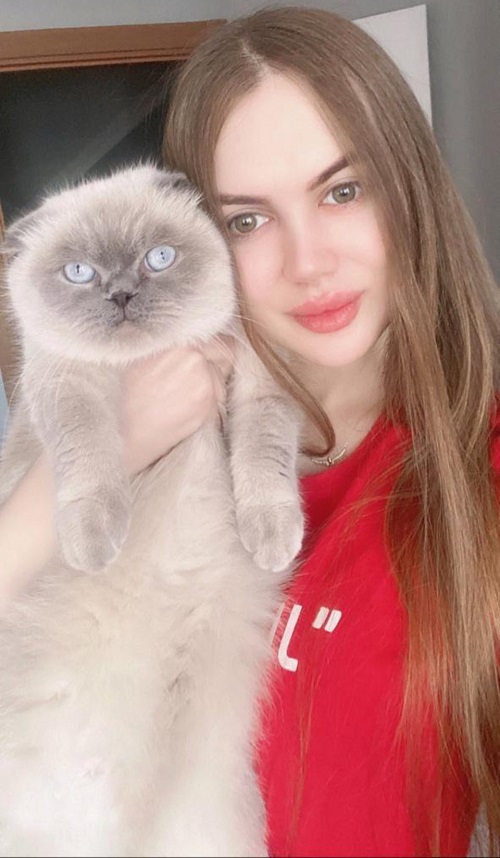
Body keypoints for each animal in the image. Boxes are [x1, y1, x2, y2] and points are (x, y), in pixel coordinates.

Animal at [0, 165, 304, 857]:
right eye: (79, 272)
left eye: (157, 259)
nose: (120, 296)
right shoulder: (67, 387)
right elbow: (90, 462)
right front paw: (94, 544)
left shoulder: (257, 383)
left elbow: (263, 464)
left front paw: (272, 540)